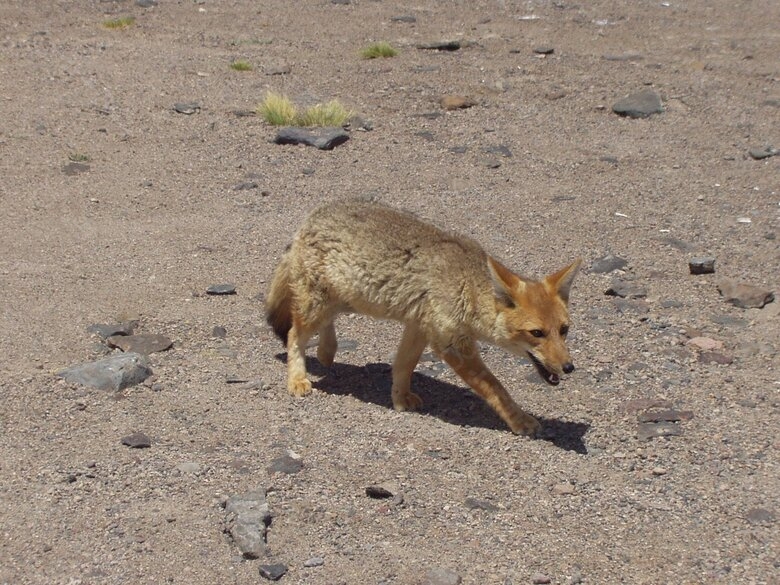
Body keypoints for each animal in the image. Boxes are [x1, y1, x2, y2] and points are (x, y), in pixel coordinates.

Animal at [266, 198, 580, 436]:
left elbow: (403, 366)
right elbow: (495, 387)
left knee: (321, 325)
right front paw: (519, 420)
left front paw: (400, 398)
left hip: (348, 301)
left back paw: (326, 350)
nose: (569, 367)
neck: (465, 283)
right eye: (537, 333)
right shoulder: (450, 344)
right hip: (322, 304)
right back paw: (298, 377)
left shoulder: (418, 327)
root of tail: (310, 218)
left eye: (564, 330)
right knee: (295, 334)